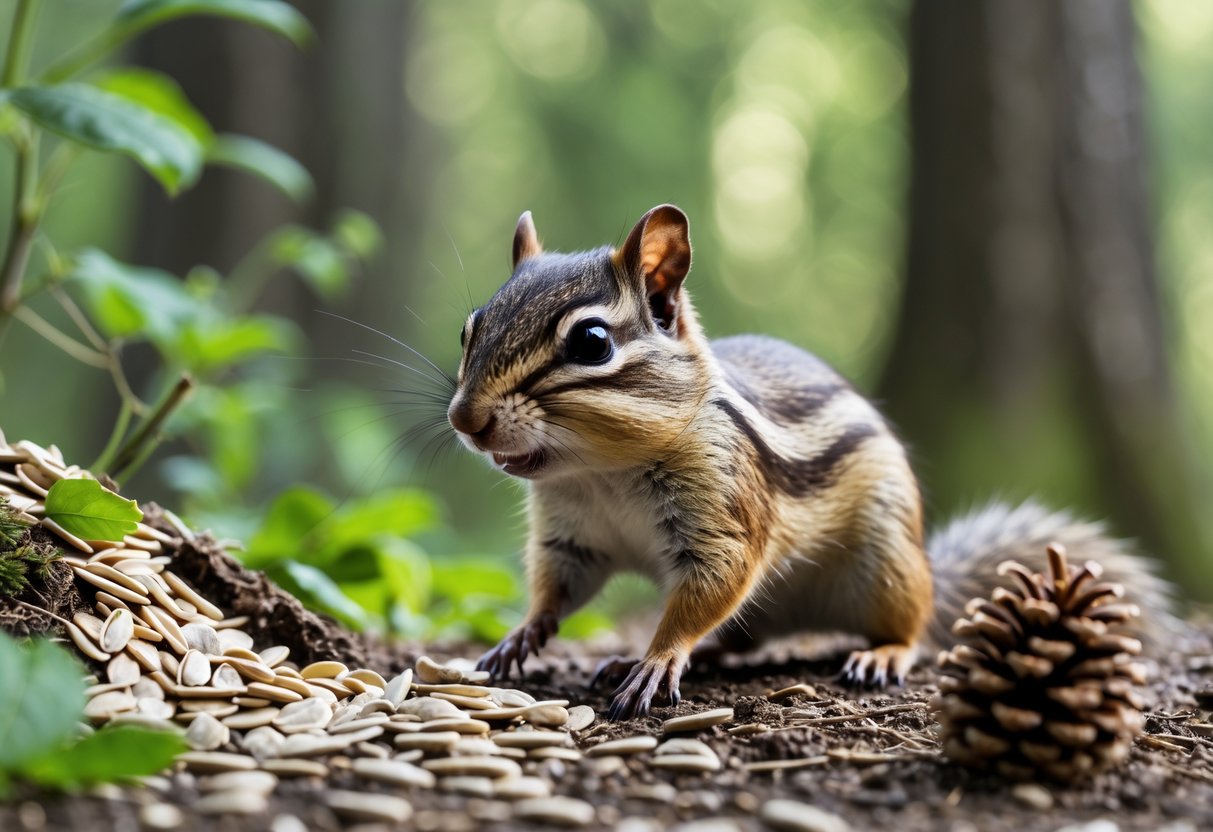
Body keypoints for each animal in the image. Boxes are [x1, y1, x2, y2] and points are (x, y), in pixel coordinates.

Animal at [446, 204, 1174, 721]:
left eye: (592, 342)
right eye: (469, 328)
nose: (464, 420)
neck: (601, 470)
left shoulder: (725, 511)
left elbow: (711, 586)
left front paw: (657, 659)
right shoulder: (571, 536)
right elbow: (557, 589)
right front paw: (523, 634)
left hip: (885, 564)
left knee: (912, 624)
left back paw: (881, 653)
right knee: (738, 633)